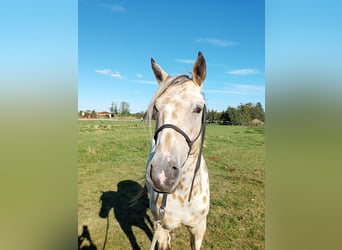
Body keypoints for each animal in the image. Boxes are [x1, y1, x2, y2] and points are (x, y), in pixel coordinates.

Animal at [141, 51, 208, 249]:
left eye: (198, 108)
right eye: (156, 108)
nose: (162, 175)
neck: (184, 195)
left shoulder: (199, 229)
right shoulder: (162, 228)